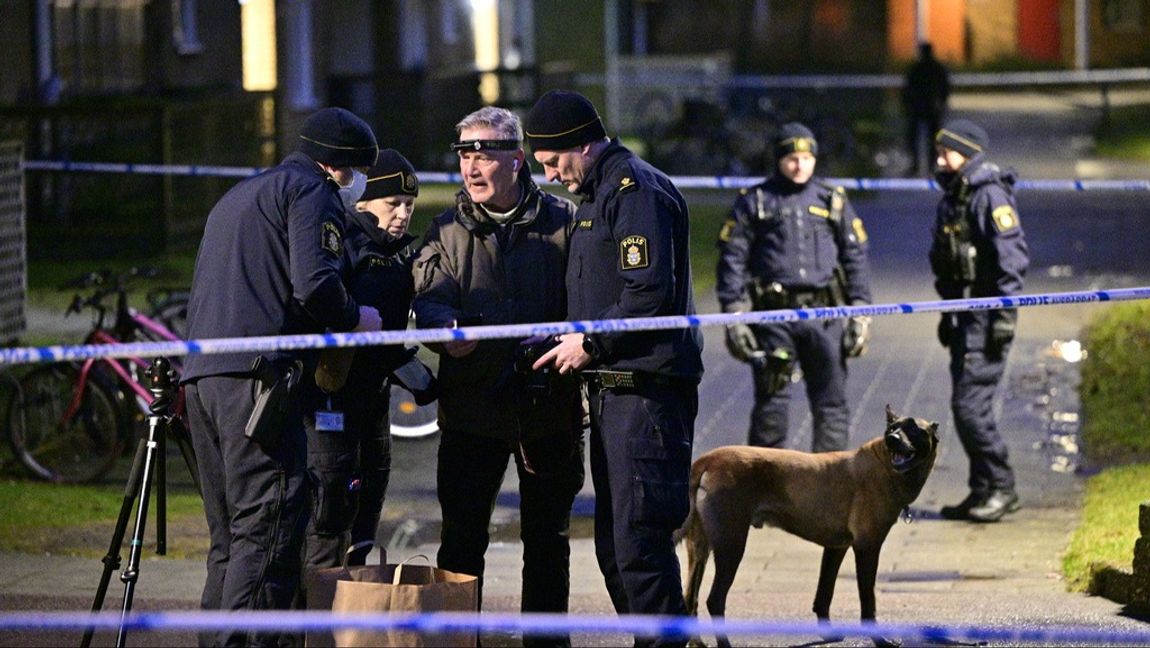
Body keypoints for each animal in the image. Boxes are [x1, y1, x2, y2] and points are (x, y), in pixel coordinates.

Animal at [676, 405, 938, 648]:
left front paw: (828, 634)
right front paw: (880, 639)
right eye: (892, 428)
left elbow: (824, 594)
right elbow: (868, 601)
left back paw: (696, 641)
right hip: (731, 545)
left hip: (700, 551)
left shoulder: (836, 547)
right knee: (714, 599)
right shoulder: (867, 547)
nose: (892, 438)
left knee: (690, 598)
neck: (884, 464)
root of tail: (706, 460)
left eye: (914, 428)